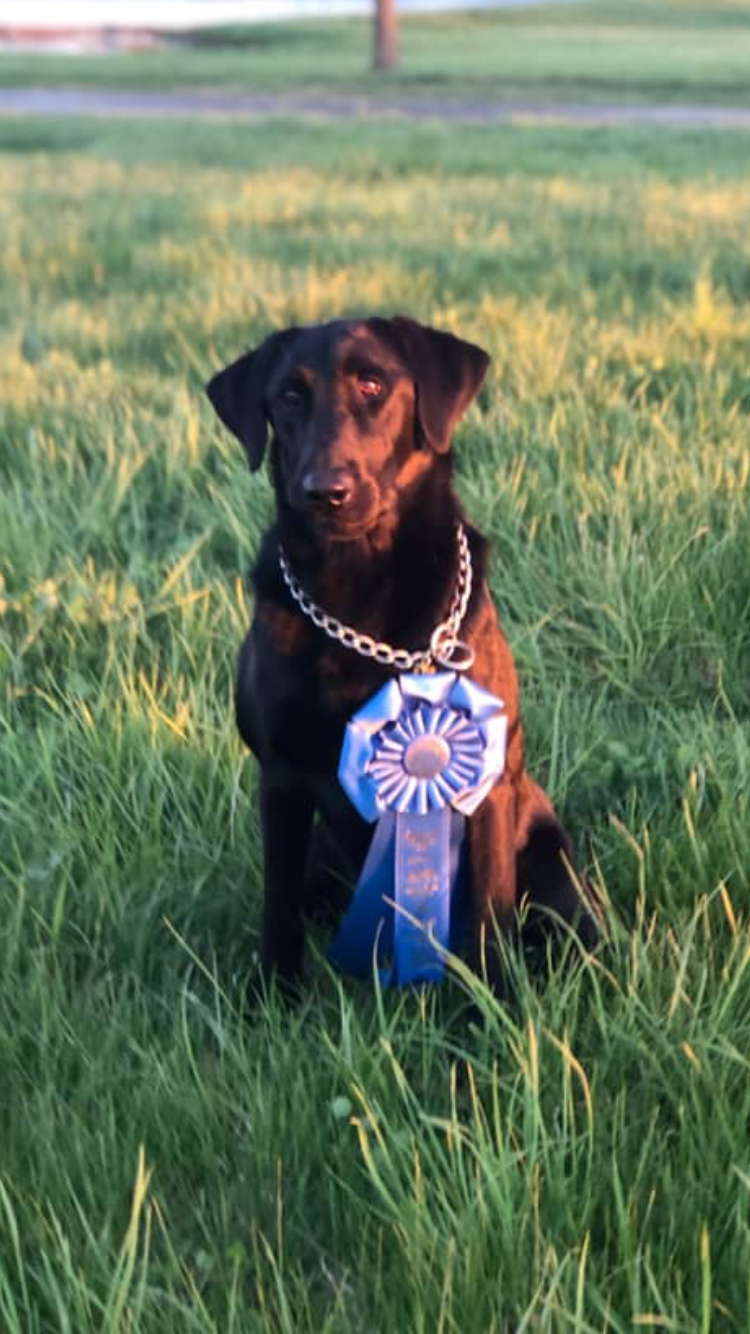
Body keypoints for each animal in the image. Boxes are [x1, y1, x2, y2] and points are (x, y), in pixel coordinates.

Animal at [205, 317, 595, 997]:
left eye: (372, 384)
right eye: (288, 396)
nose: (324, 493)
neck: (357, 590)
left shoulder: (487, 789)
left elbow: (490, 916)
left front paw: (489, 1009)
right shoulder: (279, 776)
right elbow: (278, 905)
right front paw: (271, 997)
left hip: (551, 864)